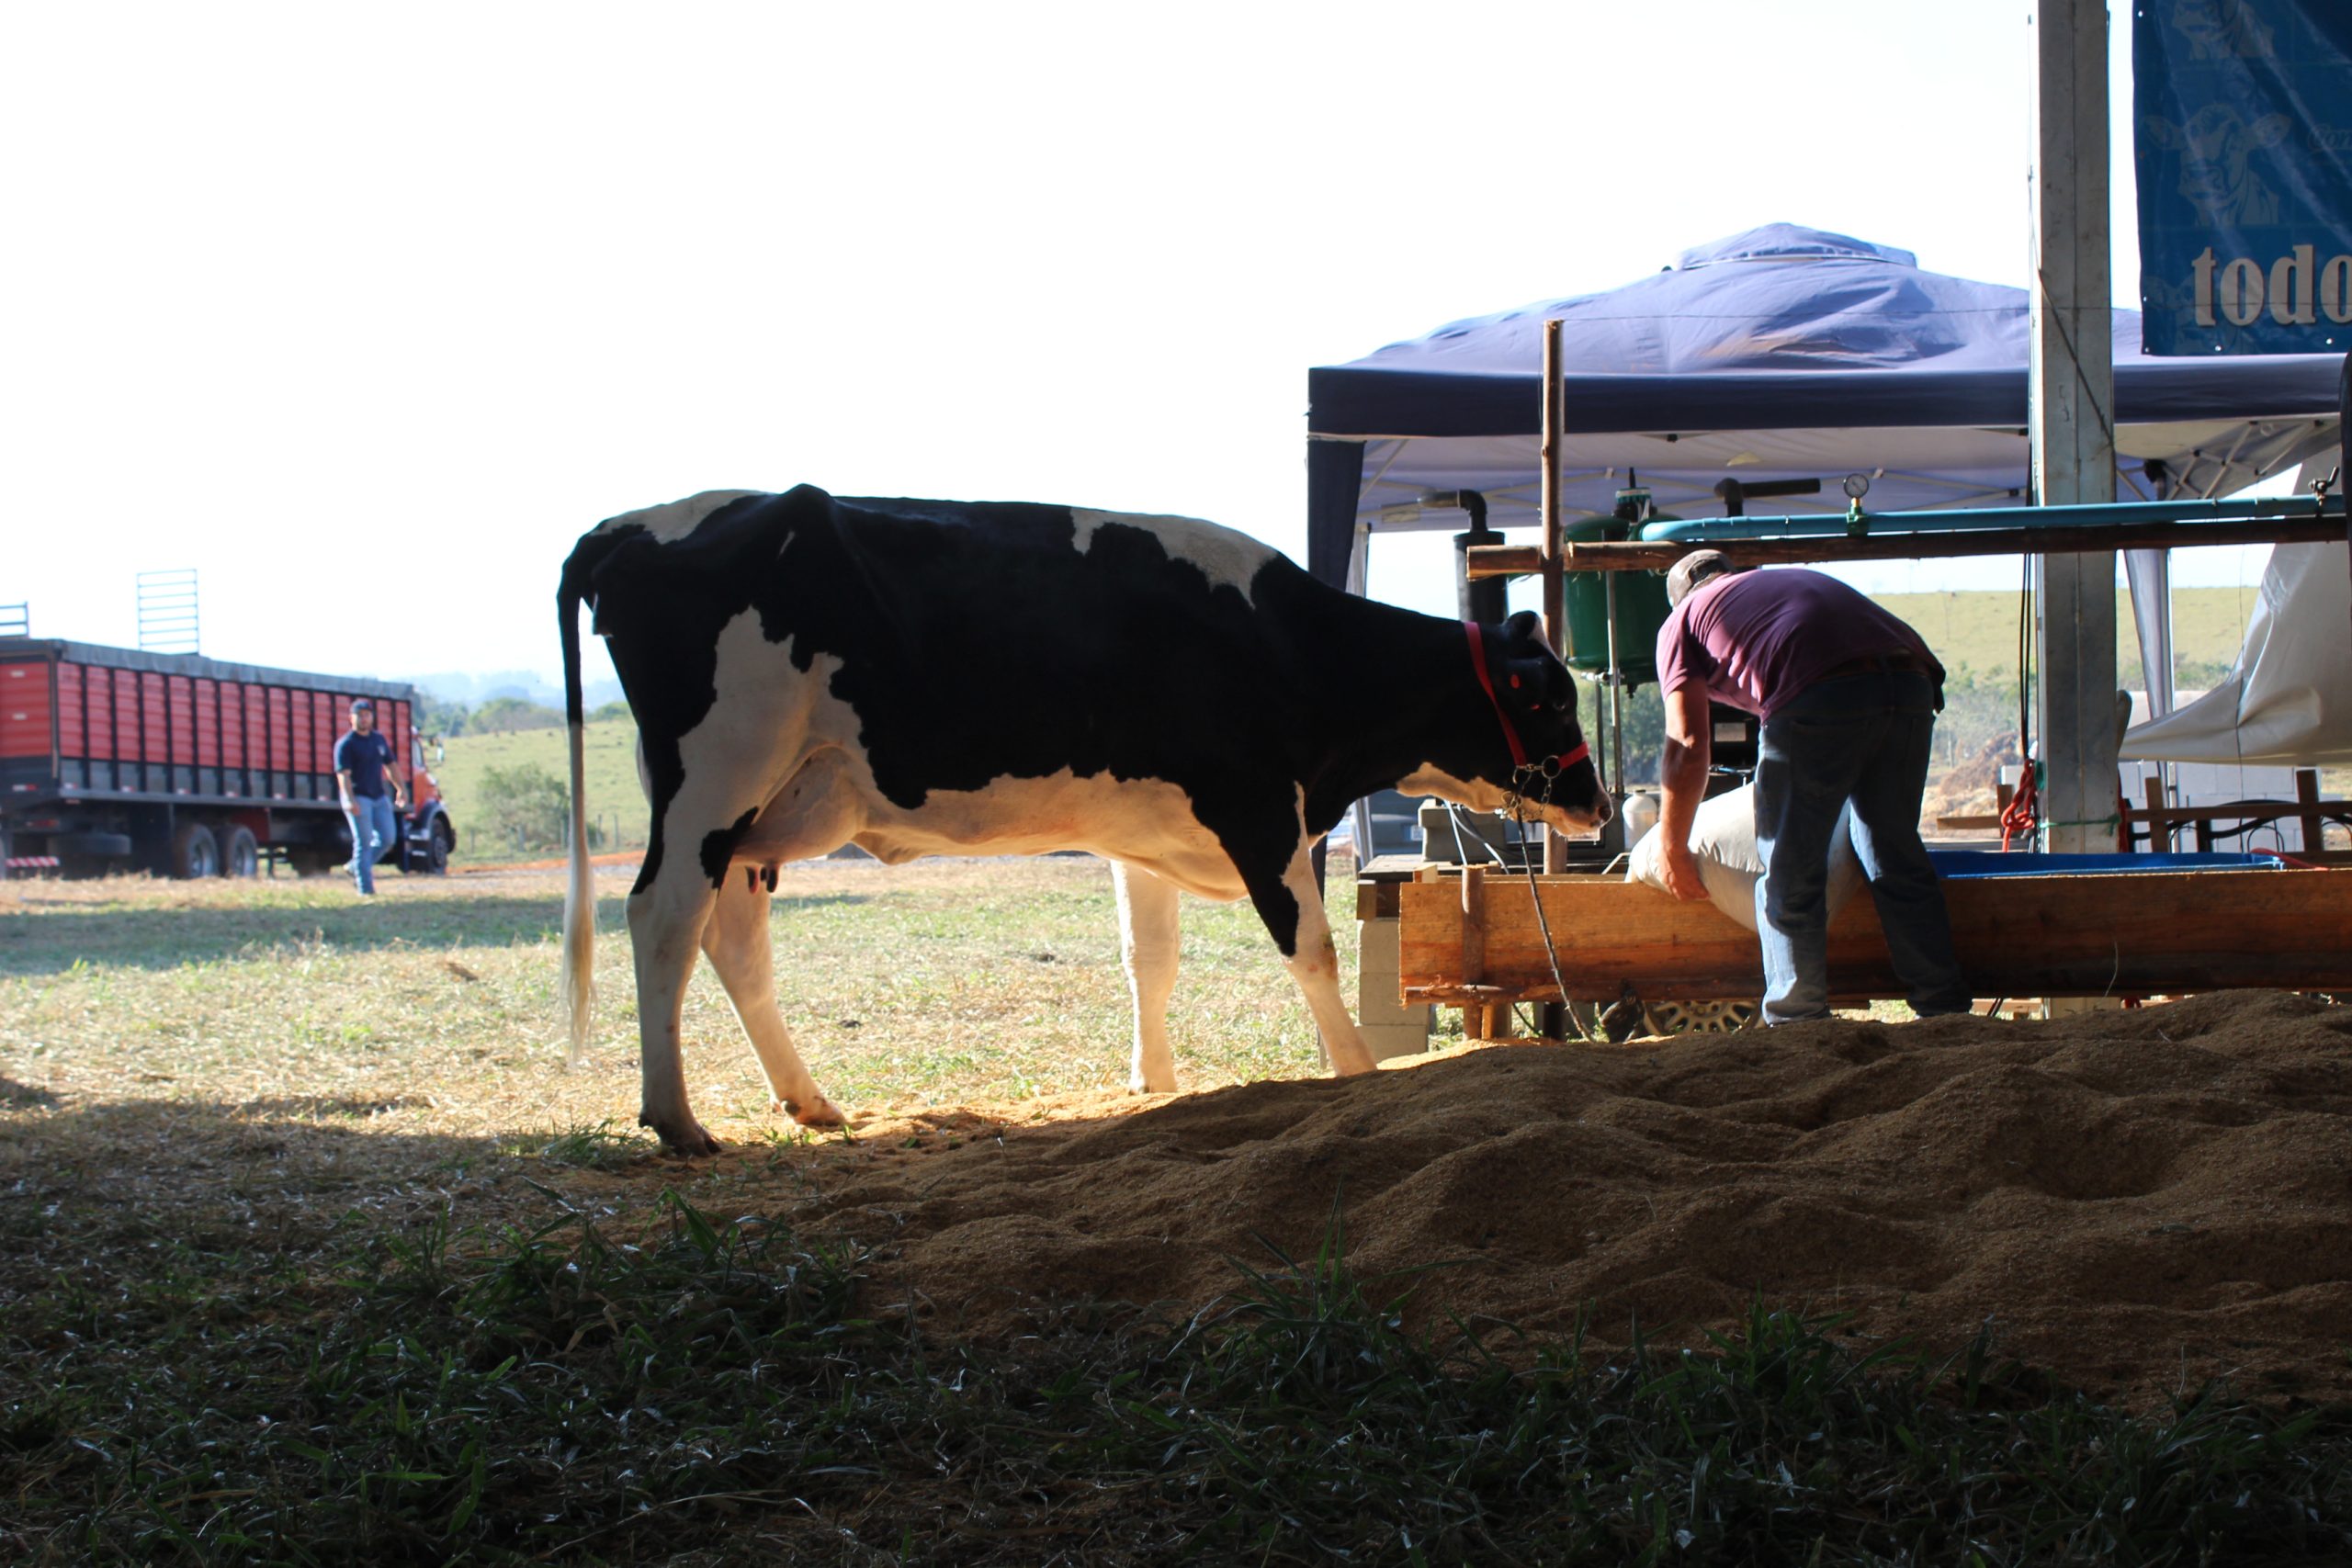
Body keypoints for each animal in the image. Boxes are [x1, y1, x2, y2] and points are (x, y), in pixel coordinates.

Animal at [560, 484, 1609, 1161]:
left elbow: (1150, 957)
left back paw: (810, 1103)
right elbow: (1307, 946)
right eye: (1554, 698)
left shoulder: (1145, 830)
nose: (1595, 805)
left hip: (761, 809)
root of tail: (630, 527)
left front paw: (1156, 1081)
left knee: (734, 943)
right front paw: (1354, 1070)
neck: (1290, 645)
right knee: (662, 918)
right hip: (716, 774)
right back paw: (677, 1119)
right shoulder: (1258, 808)